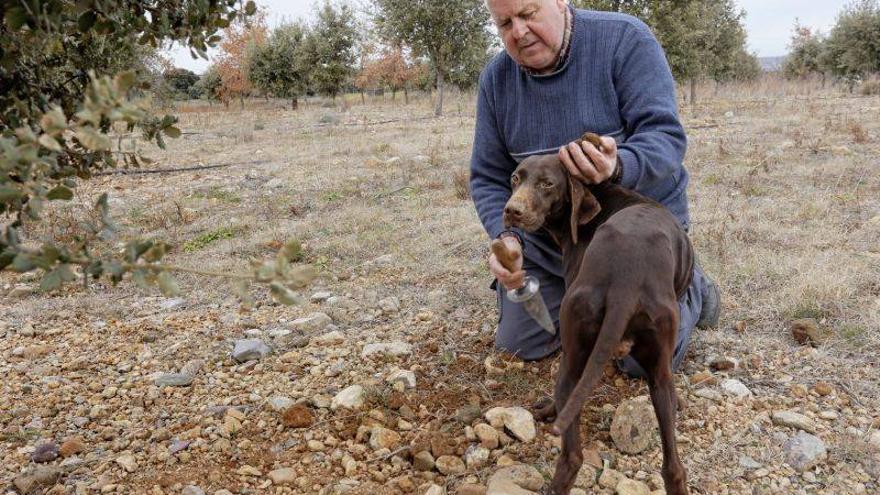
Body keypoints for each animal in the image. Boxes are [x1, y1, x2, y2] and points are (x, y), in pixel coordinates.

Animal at [502, 147, 696, 495]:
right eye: (515, 178)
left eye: (547, 184)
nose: (513, 211)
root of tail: (626, 279)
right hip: (658, 371)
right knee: (673, 468)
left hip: (571, 359)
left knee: (572, 456)